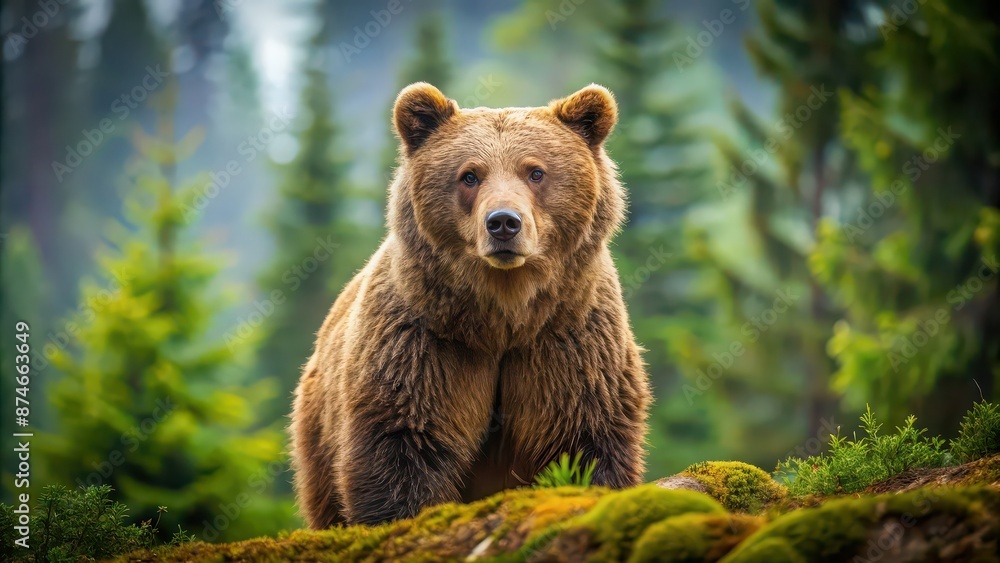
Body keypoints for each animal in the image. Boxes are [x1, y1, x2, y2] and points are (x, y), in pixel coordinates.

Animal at [290, 82, 651, 528]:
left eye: (535, 171)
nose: (503, 222)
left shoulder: (568, 340)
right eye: (469, 175)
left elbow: (585, 436)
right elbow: (403, 444)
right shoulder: (425, 343)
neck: (503, 317)